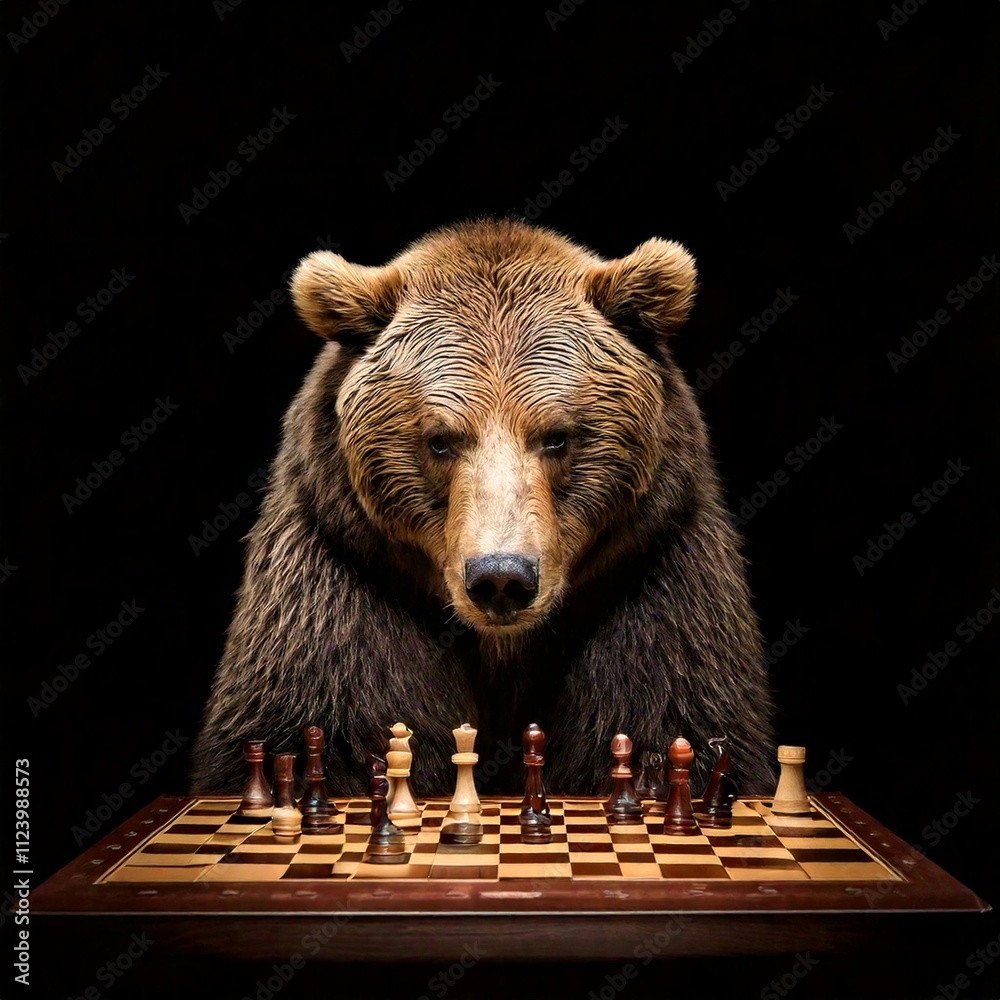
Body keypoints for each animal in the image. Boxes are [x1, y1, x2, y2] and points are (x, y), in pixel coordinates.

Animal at [190, 217, 775, 798]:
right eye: (440, 440)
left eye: (556, 436)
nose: (501, 577)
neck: (503, 653)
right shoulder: (336, 589)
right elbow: (326, 728)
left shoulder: (656, 585)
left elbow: (673, 713)